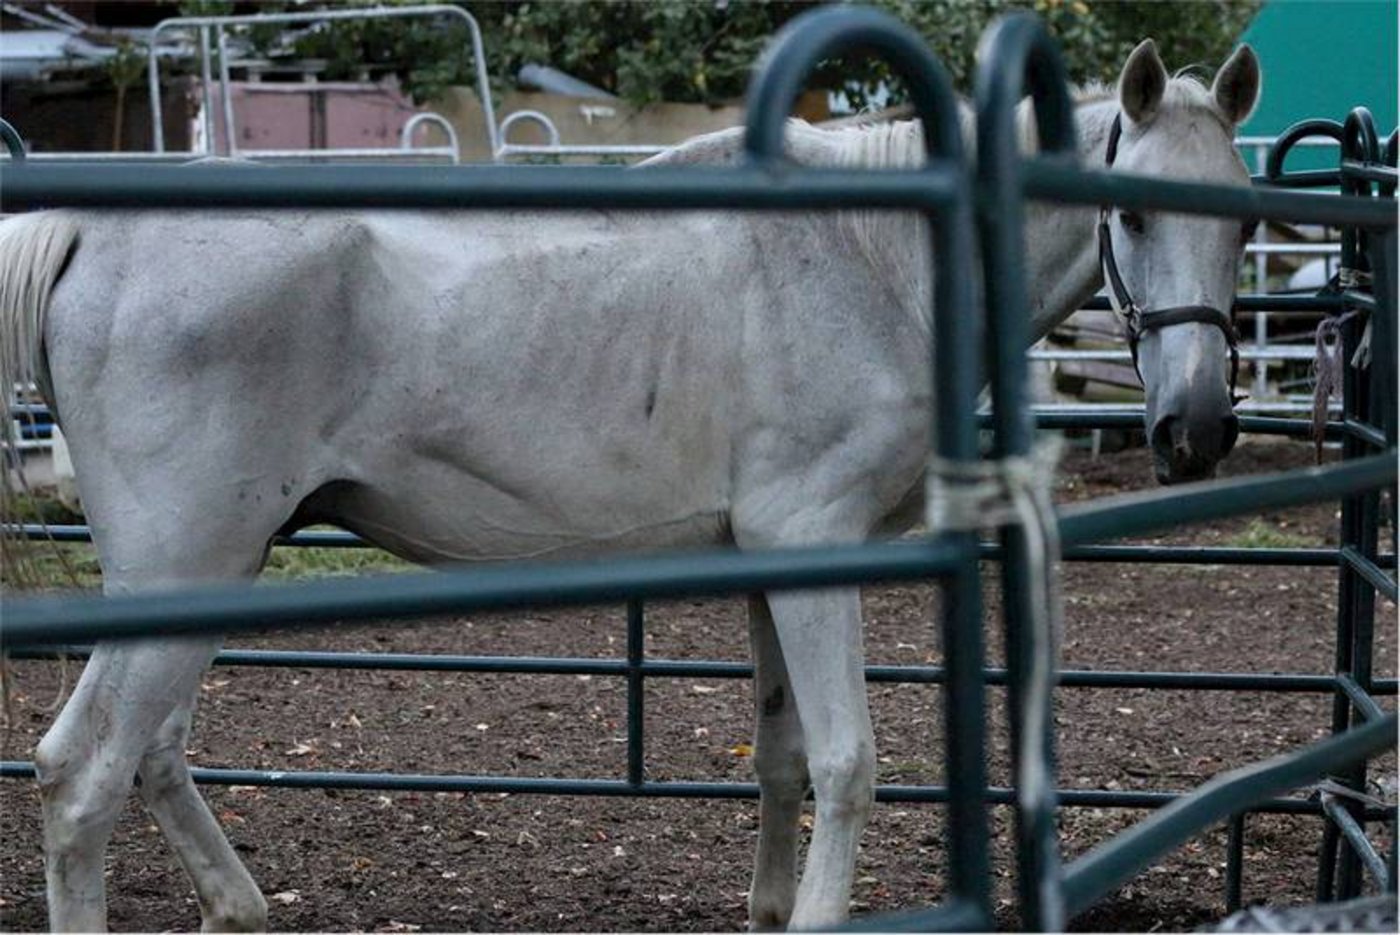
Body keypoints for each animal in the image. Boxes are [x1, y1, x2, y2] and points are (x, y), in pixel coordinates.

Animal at [0, 39, 1259, 932]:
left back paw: (238, 907)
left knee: (154, 750)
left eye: (1241, 221)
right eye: (1129, 210)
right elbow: (848, 761)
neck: (871, 252)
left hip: (209, 572)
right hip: (189, 564)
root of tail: (90, 233)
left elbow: (783, 754)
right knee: (82, 772)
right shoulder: (810, 545)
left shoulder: (766, 560)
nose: (1194, 426)